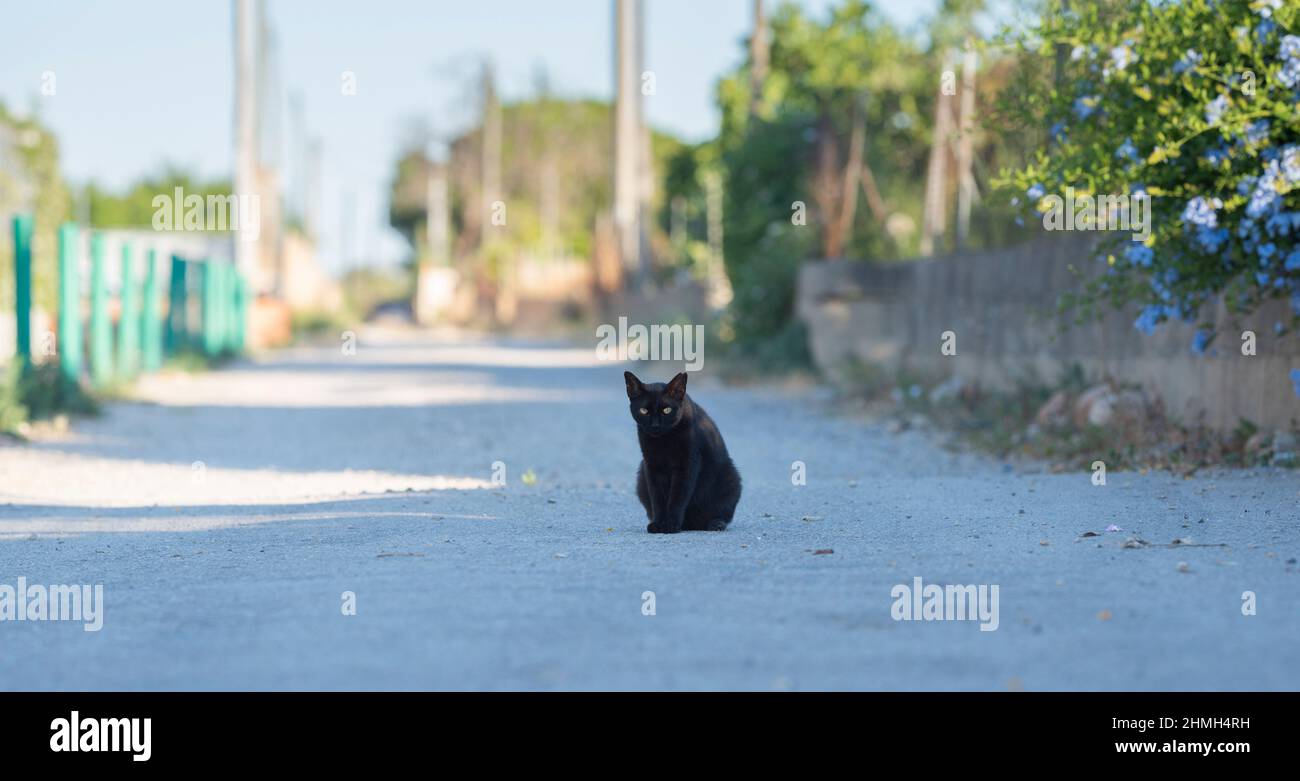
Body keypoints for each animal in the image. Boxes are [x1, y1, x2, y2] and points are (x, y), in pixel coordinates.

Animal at [626, 369, 743, 530]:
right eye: (644, 411)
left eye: (667, 410)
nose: (655, 425)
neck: (664, 441)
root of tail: (690, 525)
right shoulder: (652, 466)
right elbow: (658, 499)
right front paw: (659, 523)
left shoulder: (687, 465)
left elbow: (677, 498)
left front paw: (670, 525)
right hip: (641, 477)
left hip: (731, 477)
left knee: (720, 513)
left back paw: (715, 524)